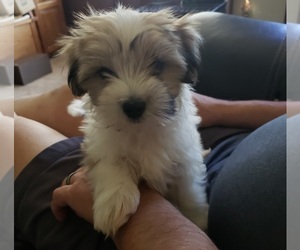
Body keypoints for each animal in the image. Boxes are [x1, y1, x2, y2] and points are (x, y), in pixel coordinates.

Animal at [60, 6, 209, 236]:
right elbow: (110, 165)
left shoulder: (186, 157)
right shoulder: (100, 147)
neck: (142, 130)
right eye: (104, 72)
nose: (133, 106)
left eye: (157, 65)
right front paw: (113, 204)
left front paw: (197, 220)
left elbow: (189, 192)